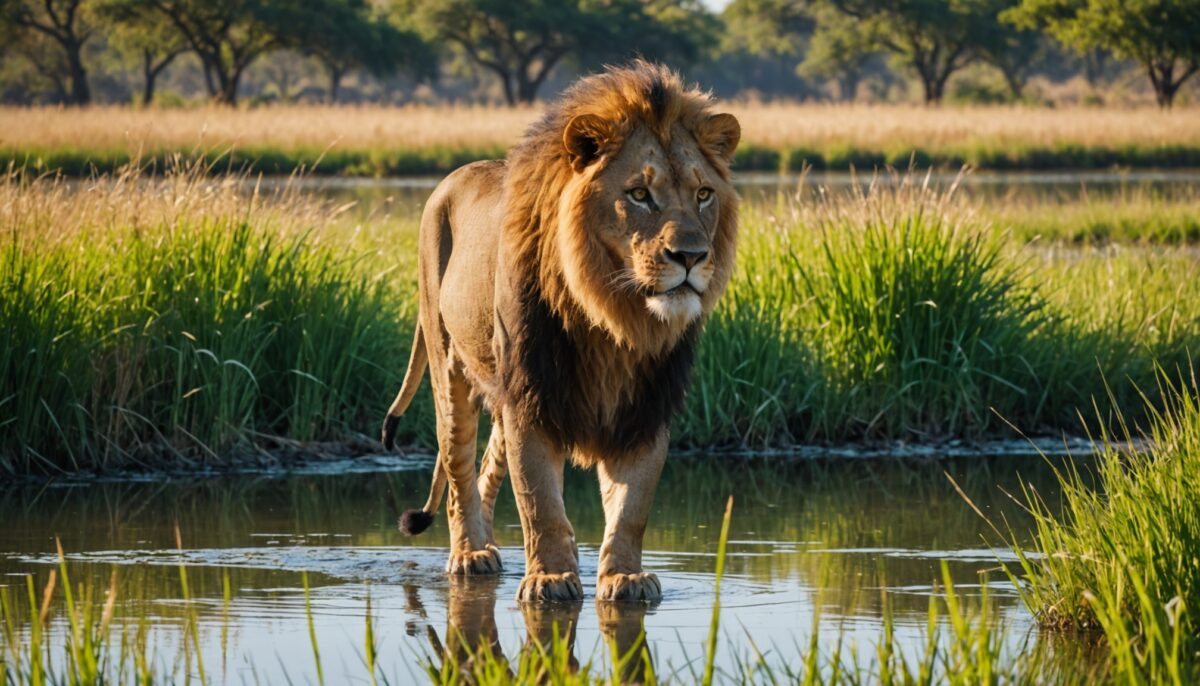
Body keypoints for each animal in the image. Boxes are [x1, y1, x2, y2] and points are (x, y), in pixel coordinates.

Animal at [381, 61, 740, 602]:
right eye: (639, 194)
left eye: (703, 194)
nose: (692, 256)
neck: (615, 315)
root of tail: (451, 179)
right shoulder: (532, 394)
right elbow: (538, 500)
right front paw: (549, 579)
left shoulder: (647, 404)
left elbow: (632, 507)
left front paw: (623, 577)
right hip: (450, 367)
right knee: (459, 469)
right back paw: (469, 555)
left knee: (485, 471)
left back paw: (491, 549)